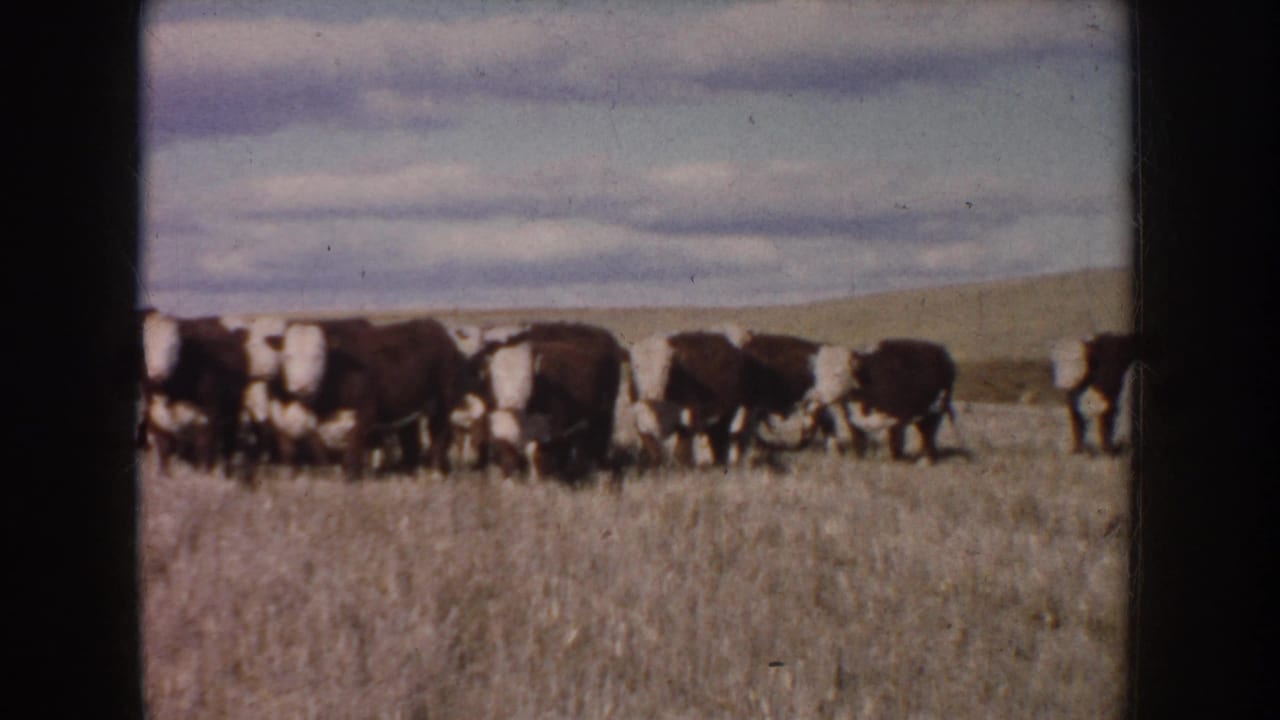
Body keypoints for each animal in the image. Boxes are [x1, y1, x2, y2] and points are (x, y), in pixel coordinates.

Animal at [271, 317, 467, 480]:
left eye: (318, 356)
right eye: (287, 356)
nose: (301, 386)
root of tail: (438, 329)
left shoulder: (365, 411)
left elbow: (354, 445)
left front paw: (351, 477)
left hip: (443, 401)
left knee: (440, 433)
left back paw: (436, 472)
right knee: (410, 440)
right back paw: (409, 470)